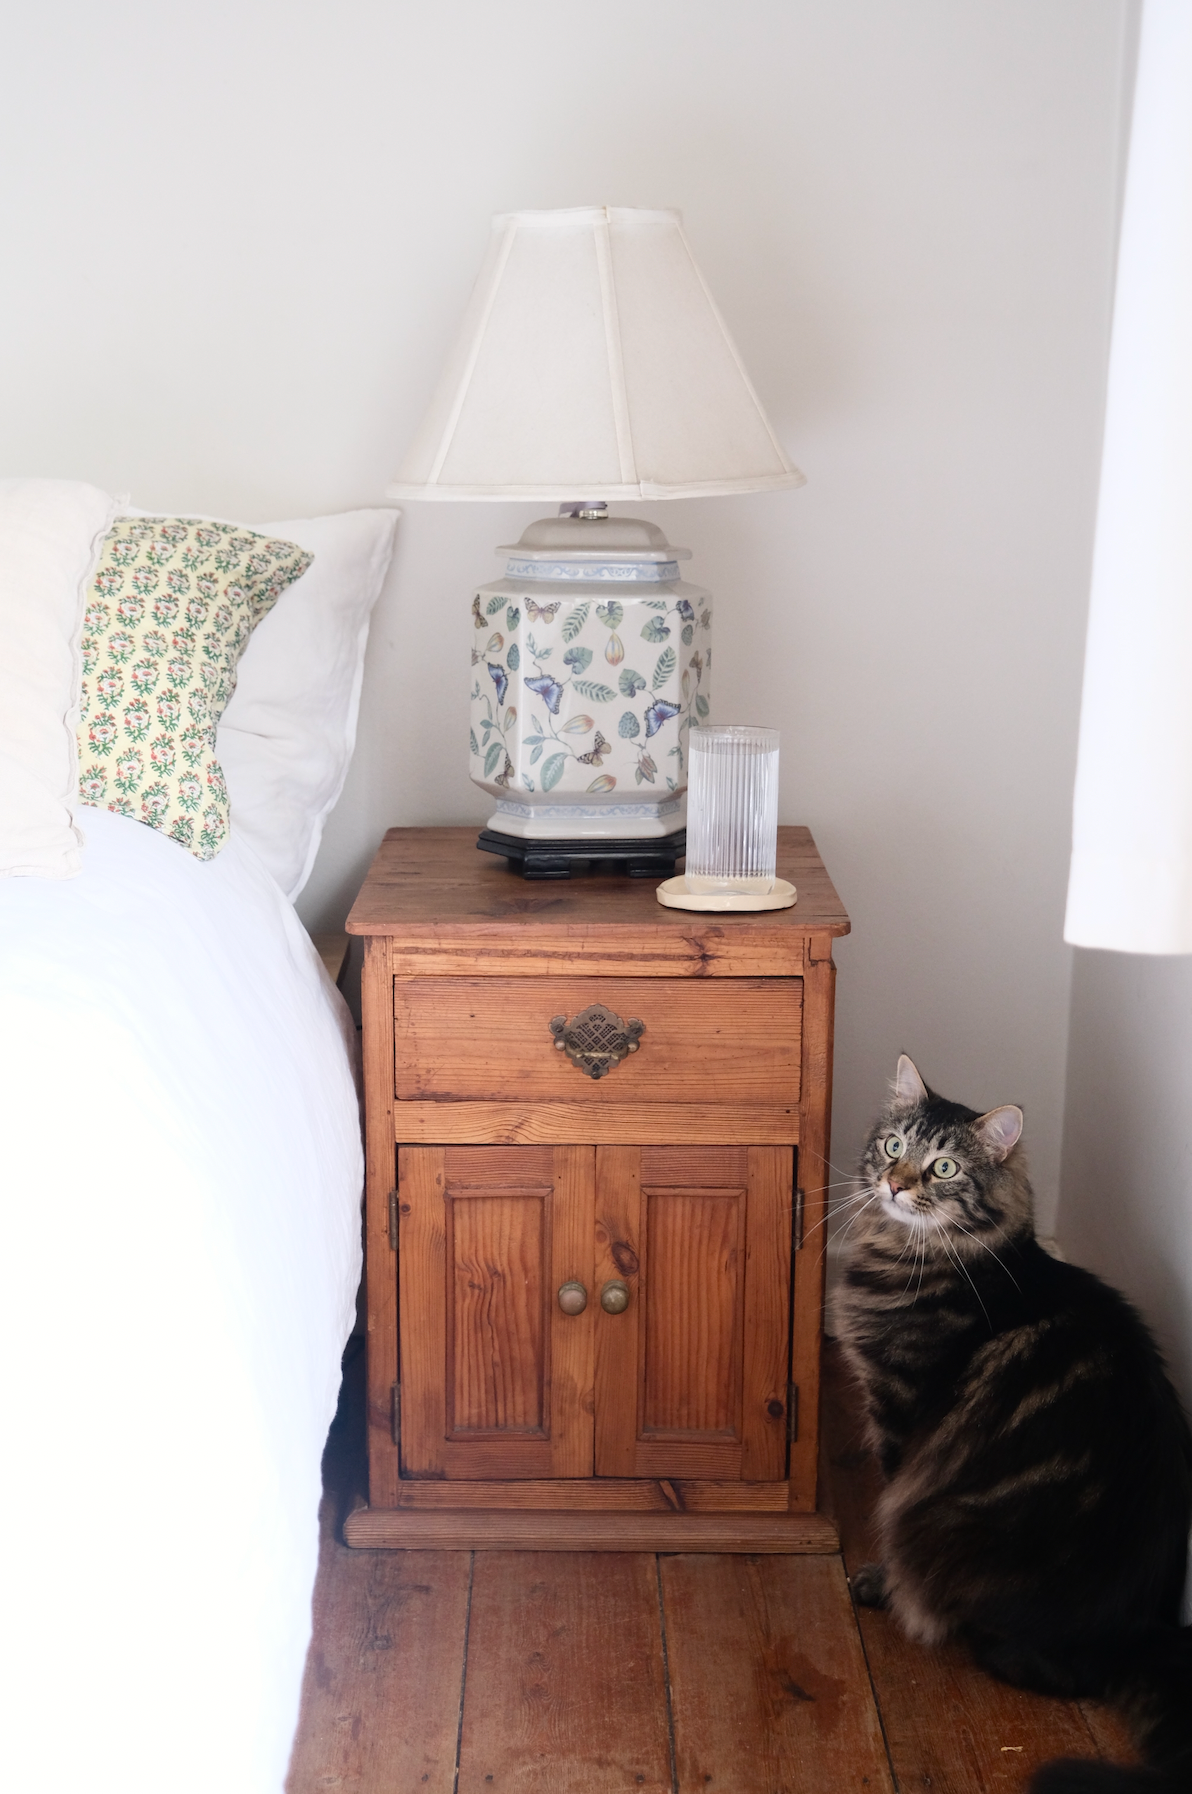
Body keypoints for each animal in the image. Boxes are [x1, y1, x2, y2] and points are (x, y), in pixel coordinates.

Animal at [832, 1054, 1192, 1786]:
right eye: (893, 1146)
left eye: (943, 1168)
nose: (893, 1183)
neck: (914, 1252)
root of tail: (1142, 1627)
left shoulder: (900, 1407)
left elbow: (887, 1501)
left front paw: (880, 1583)